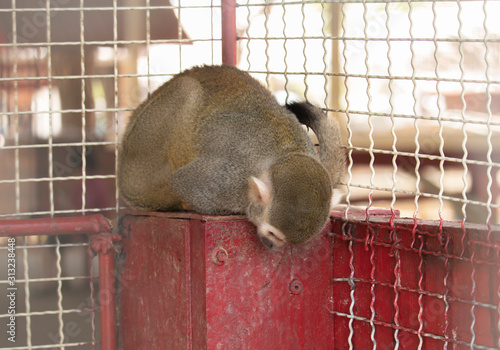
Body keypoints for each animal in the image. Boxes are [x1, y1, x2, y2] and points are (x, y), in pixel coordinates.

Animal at [117, 65, 346, 249]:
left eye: (283, 241)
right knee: (186, 90)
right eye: (272, 234)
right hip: (140, 168)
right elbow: (183, 183)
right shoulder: (227, 186)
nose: (271, 245)